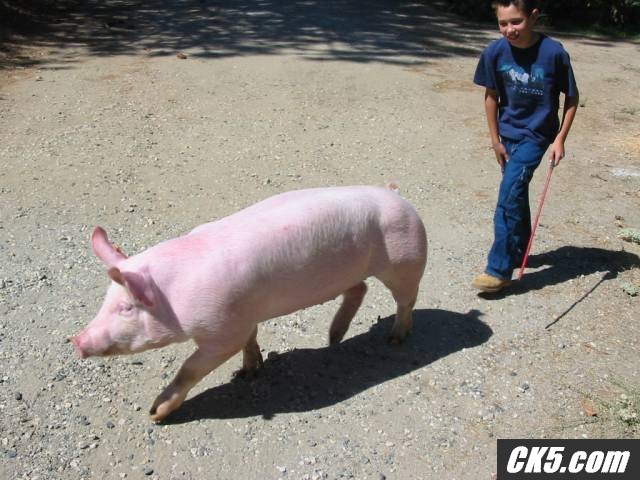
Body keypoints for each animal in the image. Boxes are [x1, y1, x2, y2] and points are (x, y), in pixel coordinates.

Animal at [72, 185, 427, 421]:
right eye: (105, 300)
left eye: (127, 308)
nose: (77, 340)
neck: (174, 294)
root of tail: (398, 196)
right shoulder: (243, 315)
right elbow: (251, 339)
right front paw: (248, 372)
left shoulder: (222, 330)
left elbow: (191, 368)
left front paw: (155, 413)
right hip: (347, 272)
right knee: (360, 288)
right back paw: (333, 339)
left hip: (405, 260)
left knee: (406, 300)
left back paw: (395, 339)